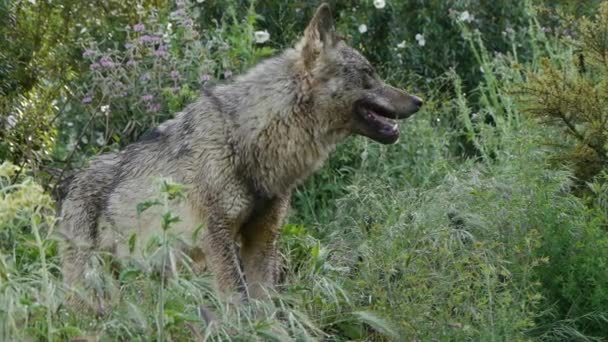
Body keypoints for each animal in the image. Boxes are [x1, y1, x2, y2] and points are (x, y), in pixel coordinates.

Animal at [60, 2, 422, 306]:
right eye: (369, 74)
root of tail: (70, 184)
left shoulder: (262, 241)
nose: (418, 101)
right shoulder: (216, 240)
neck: (249, 139)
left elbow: (266, 308)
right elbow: (237, 302)